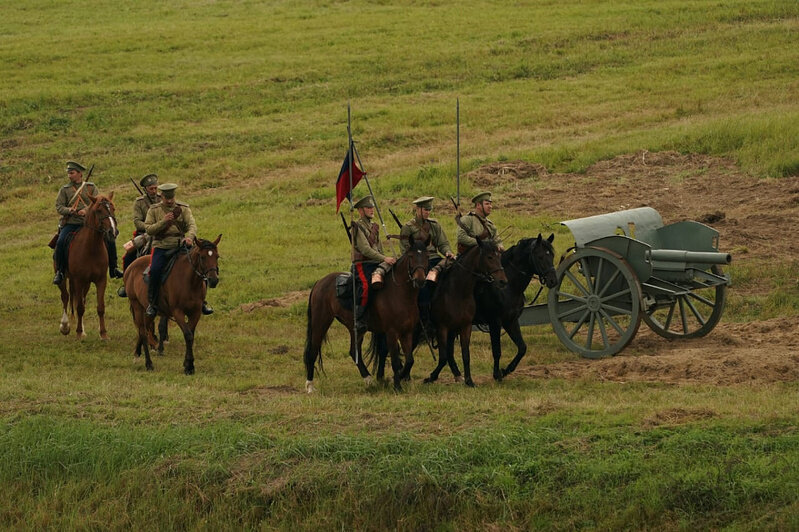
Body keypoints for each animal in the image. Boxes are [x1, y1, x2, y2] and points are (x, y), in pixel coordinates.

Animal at [56, 193, 119, 338]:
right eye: (99, 210)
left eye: (113, 208)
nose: (112, 232)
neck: (91, 248)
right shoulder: (78, 280)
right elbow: (79, 308)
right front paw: (78, 333)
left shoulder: (100, 281)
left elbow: (100, 307)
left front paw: (103, 333)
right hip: (63, 278)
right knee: (65, 297)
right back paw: (65, 326)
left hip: (86, 284)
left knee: (80, 299)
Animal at [124, 237, 222, 374]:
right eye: (202, 257)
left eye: (217, 256)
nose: (213, 280)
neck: (189, 281)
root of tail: (131, 267)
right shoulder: (178, 312)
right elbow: (188, 335)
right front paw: (189, 366)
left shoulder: (196, 312)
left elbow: (191, 335)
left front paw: (187, 363)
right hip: (137, 305)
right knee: (143, 332)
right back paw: (148, 364)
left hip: (148, 311)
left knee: (143, 328)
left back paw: (137, 354)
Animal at [304, 235, 432, 392]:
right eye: (411, 256)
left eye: (427, 256)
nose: (419, 280)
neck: (400, 294)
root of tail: (320, 282)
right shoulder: (391, 332)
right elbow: (395, 360)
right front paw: (397, 386)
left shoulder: (406, 332)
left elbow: (409, 360)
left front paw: (399, 377)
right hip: (320, 322)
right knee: (313, 351)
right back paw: (310, 386)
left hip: (355, 328)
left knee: (354, 351)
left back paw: (368, 379)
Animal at [422, 240, 510, 386]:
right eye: (489, 257)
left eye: (499, 256)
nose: (503, 281)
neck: (457, 292)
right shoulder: (442, 328)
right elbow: (443, 357)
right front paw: (431, 377)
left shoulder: (465, 327)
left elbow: (465, 354)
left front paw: (469, 381)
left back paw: (458, 375)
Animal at [476, 233, 556, 378]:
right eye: (540, 256)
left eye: (552, 255)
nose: (553, 280)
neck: (507, 287)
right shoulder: (495, 322)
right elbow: (497, 350)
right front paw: (497, 374)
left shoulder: (511, 321)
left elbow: (522, 348)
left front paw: (506, 370)